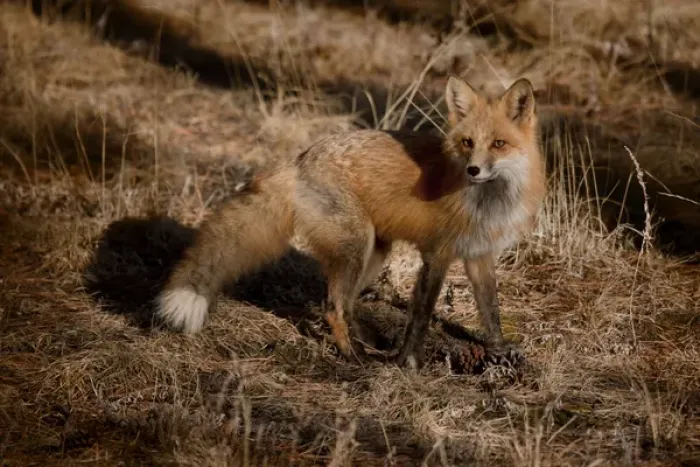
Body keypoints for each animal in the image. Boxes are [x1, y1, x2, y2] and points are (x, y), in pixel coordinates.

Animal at [156, 76, 545, 368]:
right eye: (467, 142)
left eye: (498, 144)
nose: (473, 170)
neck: (488, 201)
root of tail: (301, 159)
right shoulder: (437, 254)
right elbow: (421, 314)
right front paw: (409, 362)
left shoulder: (479, 254)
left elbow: (491, 310)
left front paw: (498, 351)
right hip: (357, 247)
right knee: (333, 307)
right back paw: (351, 356)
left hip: (372, 255)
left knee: (344, 303)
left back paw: (365, 342)